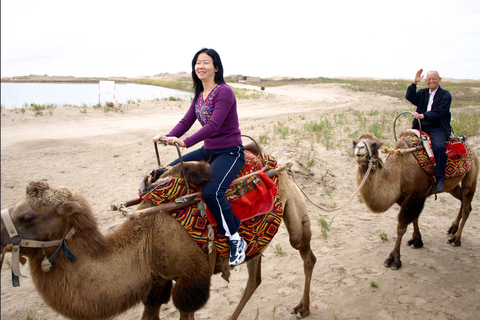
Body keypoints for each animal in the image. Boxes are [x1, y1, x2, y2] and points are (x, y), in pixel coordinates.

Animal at [1, 151, 316, 320]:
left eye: (27, 217)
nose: (1, 234)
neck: (148, 238)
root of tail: (273, 160)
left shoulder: (191, 280)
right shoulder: (157, 279)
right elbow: (150, 308)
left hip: (290, 202)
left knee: (305, 252)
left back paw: (302, 307)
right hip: (257, 238)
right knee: (255, 276)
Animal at [350, 131, 478, 268]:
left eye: (374, 144)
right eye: (354, 143)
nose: (360, 148)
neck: (398, 171)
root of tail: (470, 147)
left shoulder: (416, 194)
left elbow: (401, 226)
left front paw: (394, 258)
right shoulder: (404, 197)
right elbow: (414, 218)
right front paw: (417, 240)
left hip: (472, 174)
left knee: (466, 204)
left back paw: (456, 239)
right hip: (451, 187)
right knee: (464, 201)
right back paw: (453, 228)